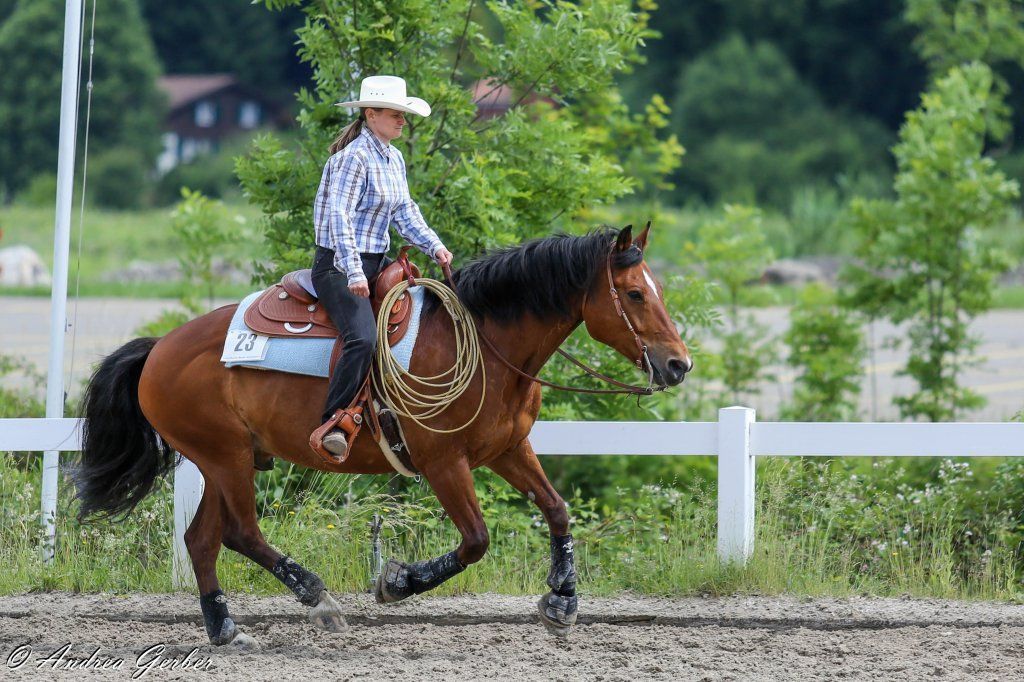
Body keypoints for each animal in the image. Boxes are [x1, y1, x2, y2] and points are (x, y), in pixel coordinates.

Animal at [74, 223, 692, 647]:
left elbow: (557, 508)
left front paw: (562, 600)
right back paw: (317, 597)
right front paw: (397, 581)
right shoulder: (443, 462)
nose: (678, 364)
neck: (488, 346)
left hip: (227, 460)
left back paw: (225, 629)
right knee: (242, 533)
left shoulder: (506, 449)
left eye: (656, 288)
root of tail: (160, 348)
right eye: (635, 294)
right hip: (223, 457)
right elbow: (476, 540)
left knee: (204, 540)